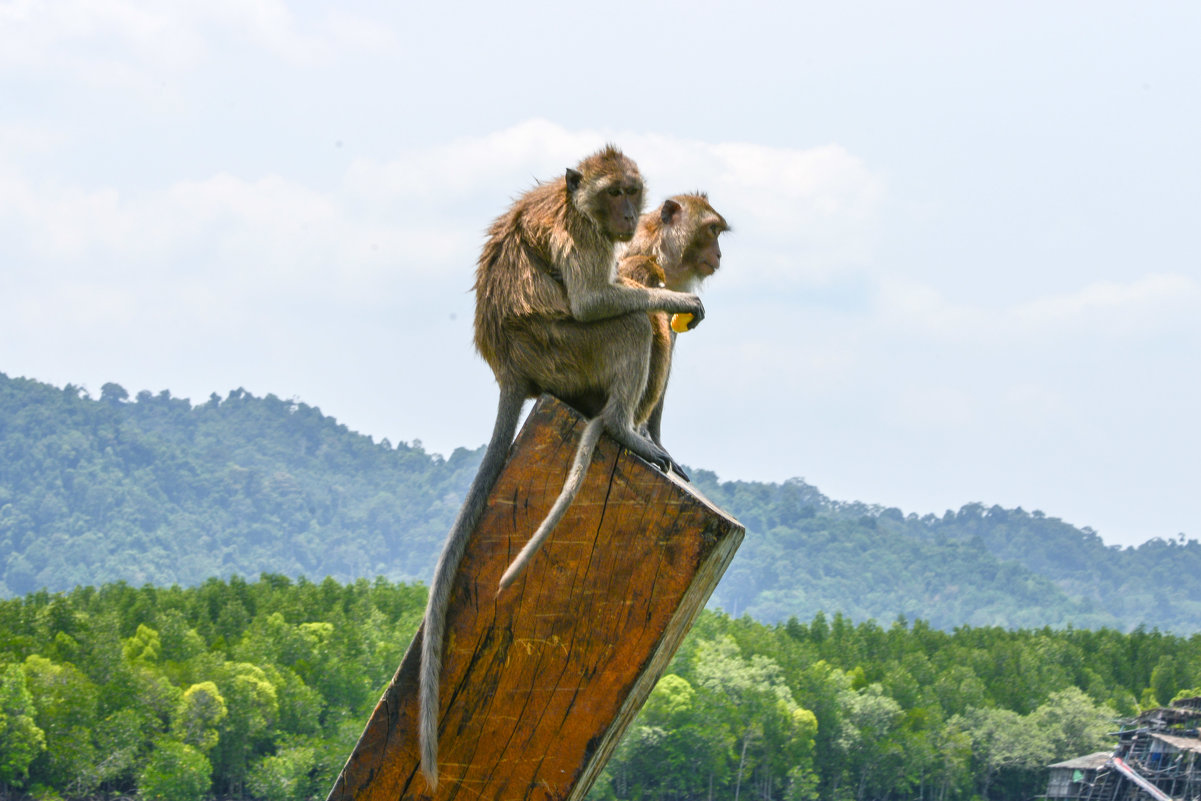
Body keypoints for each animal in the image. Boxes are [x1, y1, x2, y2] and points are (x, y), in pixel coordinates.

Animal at [420, 144, 706, 787]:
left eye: (632, 191)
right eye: (614, 192)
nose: (626, 215)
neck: (578, 203)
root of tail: (511, 370)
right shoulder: (584, 239)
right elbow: (594, 301)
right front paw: (680, 301)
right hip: (565, 354)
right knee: (628, 324)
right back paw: (627, 430)